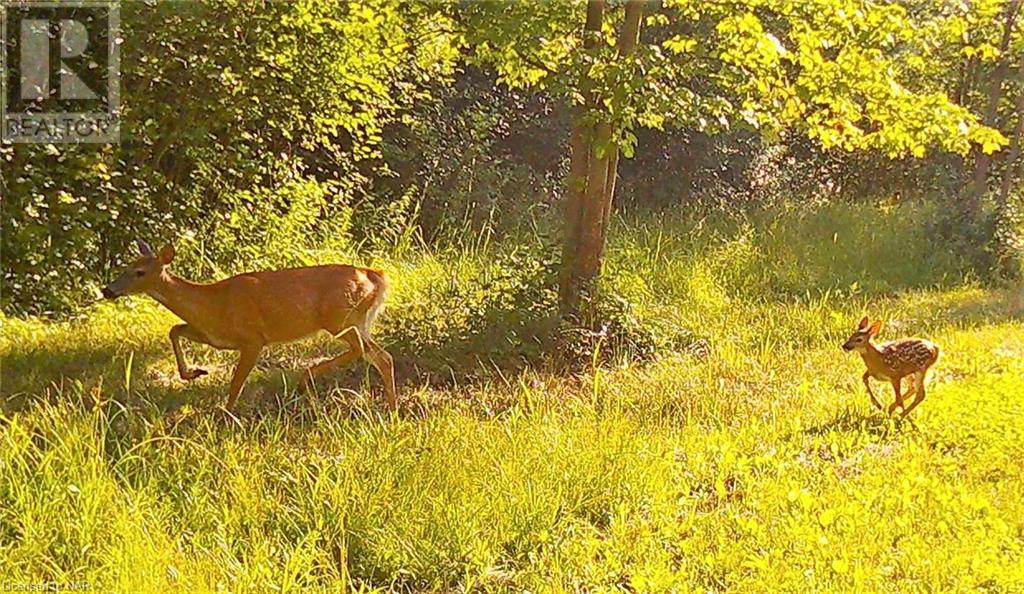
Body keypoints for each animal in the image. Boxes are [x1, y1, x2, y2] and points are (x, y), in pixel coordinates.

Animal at [100, 238, 395, 411]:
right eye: (126, 266)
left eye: (139, 272)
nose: (107, 290)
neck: (213, 303)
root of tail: (375, 276)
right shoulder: (213, 336)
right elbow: (174, 329)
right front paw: (194, 372)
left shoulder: (253, 339)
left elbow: (235, 384)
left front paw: (225, 417)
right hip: (358, 321)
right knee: (382, 356)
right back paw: (390, 409)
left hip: (340, 319)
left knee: (366, 352)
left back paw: (305, 378)